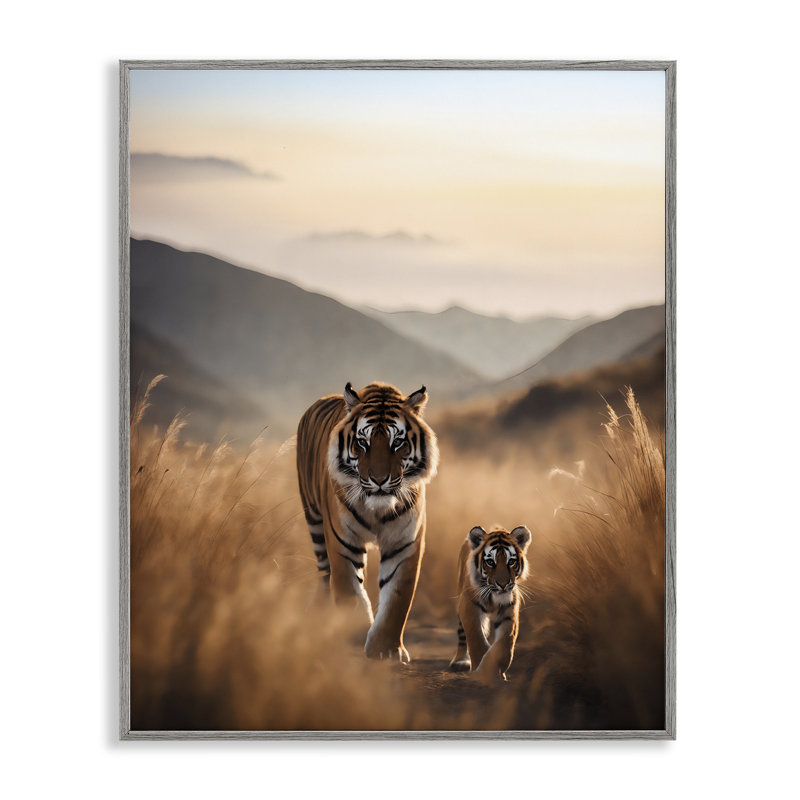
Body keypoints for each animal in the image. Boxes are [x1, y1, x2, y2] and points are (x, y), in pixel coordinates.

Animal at [296, 381, 439, 663]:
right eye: (362, 442)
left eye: (398, 442)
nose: (379, 480)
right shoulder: (343, 543)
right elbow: (350, 591)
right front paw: (353, 636)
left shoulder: (404, 545)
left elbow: (397, 601)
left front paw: (385, 649)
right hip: (314, 520)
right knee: (324, 573)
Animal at [449, 524, 532, 681]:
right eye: (490, 562)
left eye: (511, 561)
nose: (503, 585)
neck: (494, 598)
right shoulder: (469, 607)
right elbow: (477, 640)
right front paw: (481, 672)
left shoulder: (509, 613)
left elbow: (504, 645)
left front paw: (496, 670)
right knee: (462, 635)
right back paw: (460, 661)